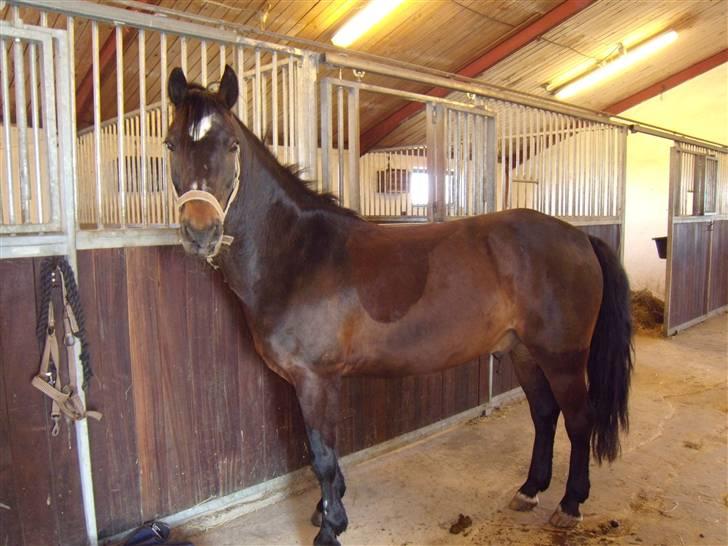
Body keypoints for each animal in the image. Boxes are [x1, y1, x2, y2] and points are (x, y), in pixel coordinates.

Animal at [164, 65, 633, 546]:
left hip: (563, 357)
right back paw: (529, 489)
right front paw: (327, 509)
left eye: (231, 145)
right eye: (171, 144)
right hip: (524, 352)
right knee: (544, 414)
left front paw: (330, 527)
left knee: (579, 420)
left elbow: (322, 455)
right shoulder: (306, 382)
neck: (300, 253)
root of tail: (579, 237)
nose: (200, 231)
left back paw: (570, 504)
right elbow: (321, 452)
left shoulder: (316, 380)